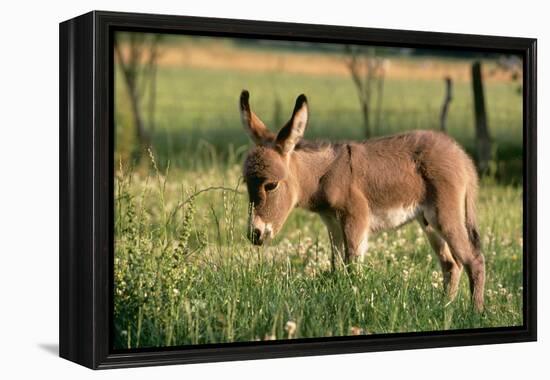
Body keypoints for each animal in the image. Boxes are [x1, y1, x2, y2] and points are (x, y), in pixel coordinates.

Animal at [242, 90, 488, 310]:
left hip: (445, 216)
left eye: (271, 185)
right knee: (451, 264)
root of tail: (462, 157)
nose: (254, 234)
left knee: (474, 260)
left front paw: (353, 302)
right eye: (246, 183)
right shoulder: (332, 224)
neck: (325, 175)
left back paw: (475, 313)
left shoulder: (355, 218)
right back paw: (445, 307)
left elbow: (352, 267)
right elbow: (336, 266)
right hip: (427, 222)